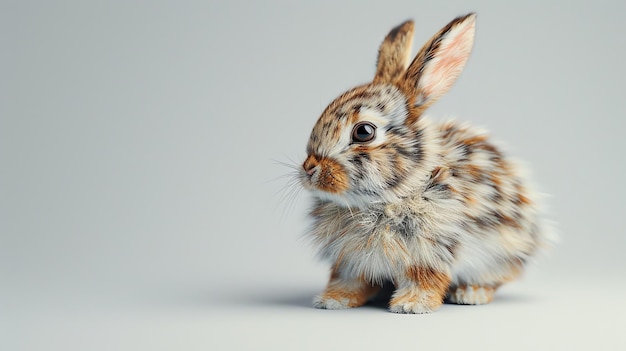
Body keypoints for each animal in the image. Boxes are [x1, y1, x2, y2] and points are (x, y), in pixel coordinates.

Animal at [298, 13, 552, 314]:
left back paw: (470, 294)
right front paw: (332, 301)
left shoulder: (432, 250)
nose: (309, 168)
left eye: (364, 132)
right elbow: (348, 280)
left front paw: (411, 305)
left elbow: (424, 279)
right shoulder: (350, 259)